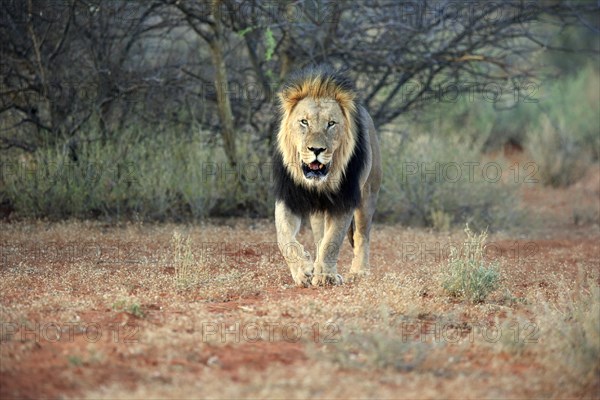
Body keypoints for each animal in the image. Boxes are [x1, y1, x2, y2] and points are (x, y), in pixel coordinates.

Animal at [274, 64, 382, 286]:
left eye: (331, 124)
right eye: (304, 122)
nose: (316, 149)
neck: (319, 183)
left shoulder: (344, 199)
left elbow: (333, 240)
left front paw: (326, 275)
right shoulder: (288, 196)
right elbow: (284, 237)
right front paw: (304, 270)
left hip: (368, 195)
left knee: (361, 235)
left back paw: (359, 271)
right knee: (319, 237)